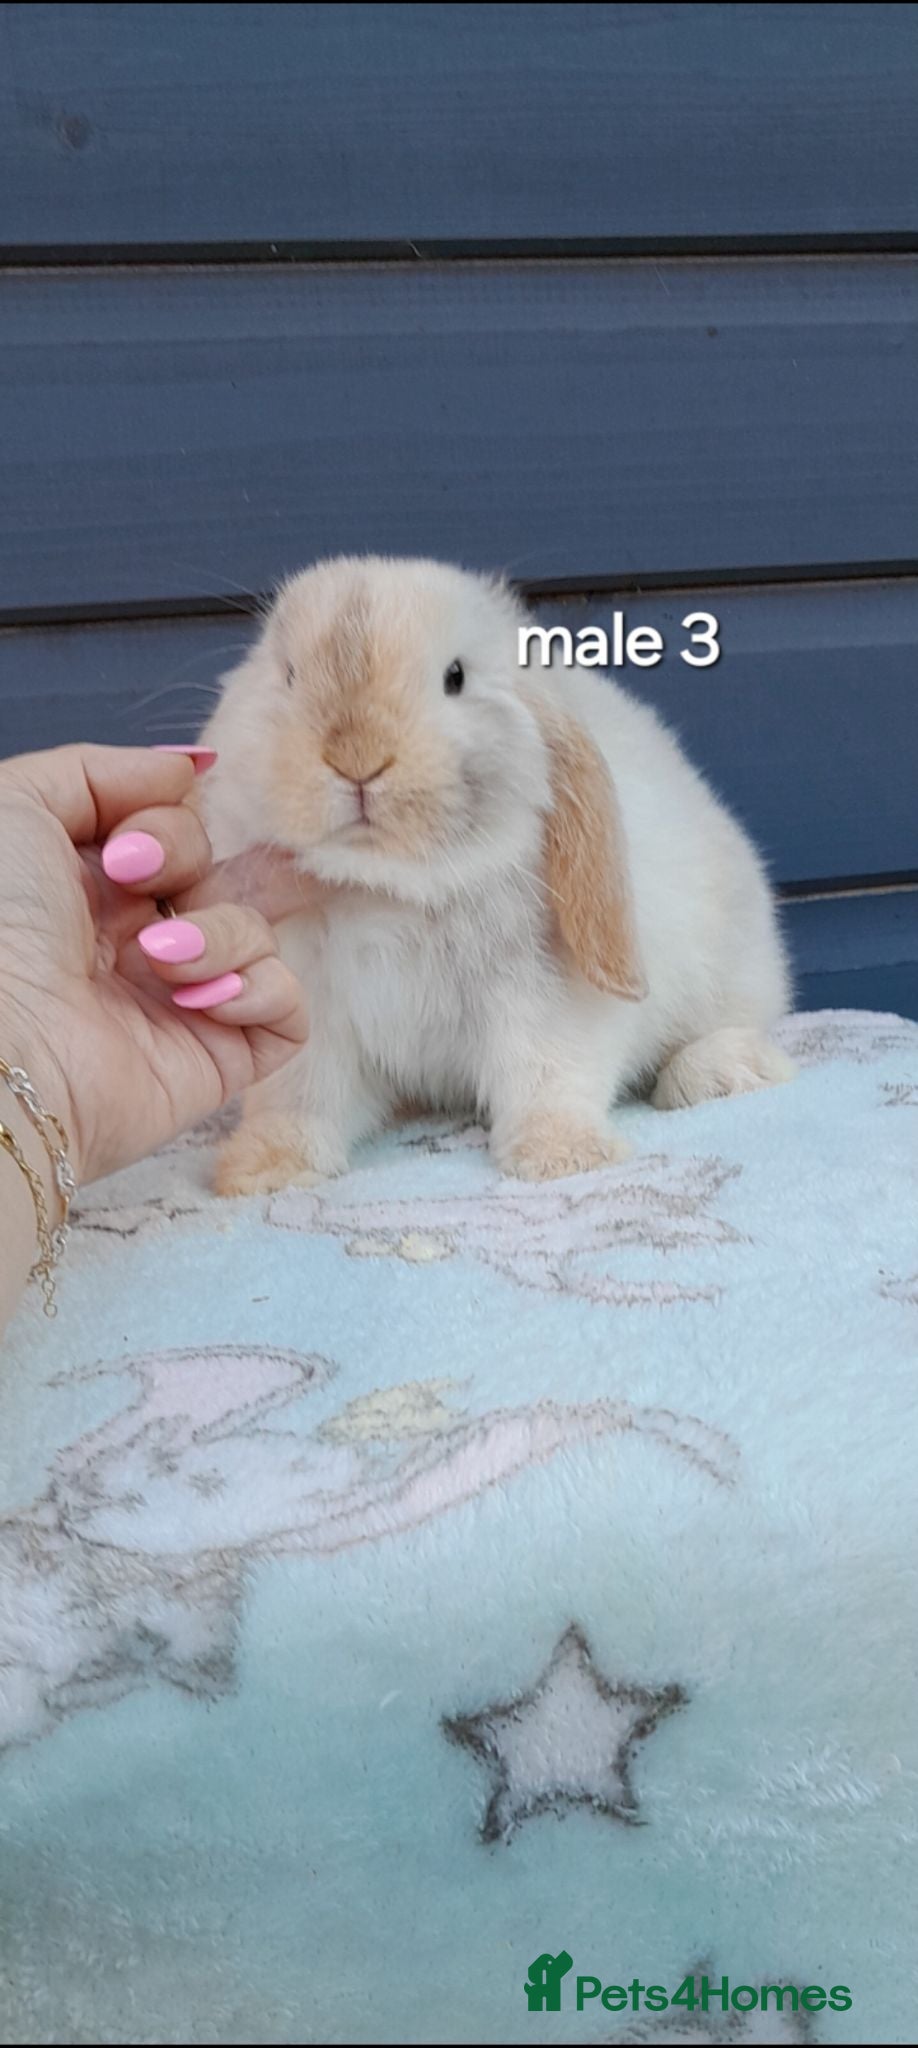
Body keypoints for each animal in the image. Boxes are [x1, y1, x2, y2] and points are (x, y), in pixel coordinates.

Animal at [197, 554, 793, 1194]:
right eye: (287, 675)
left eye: (456, 677)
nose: (357, 755)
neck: (389, 891)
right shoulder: (312, 1021)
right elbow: (297, 1099)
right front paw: (266, 1171)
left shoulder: (543, 998)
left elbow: (548, 1077)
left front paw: (562, 1158)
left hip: (733, 970)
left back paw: (719, 1073)